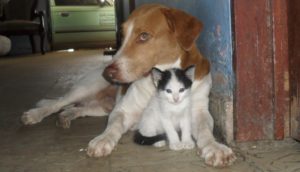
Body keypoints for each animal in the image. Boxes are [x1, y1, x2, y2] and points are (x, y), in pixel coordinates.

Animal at [21, 3, 237, 167]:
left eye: (144, 36)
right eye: (122, 35)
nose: (108, 72)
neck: (160, 77)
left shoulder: (199, 112)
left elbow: (205, 131)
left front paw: (215, 148)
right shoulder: (122, 110)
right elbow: (113, 126)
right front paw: (103, 139)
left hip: (100, 107)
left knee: (78, 109)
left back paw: (65, 116)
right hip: (86, 87)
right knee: (57, 103)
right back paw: (35, 114)